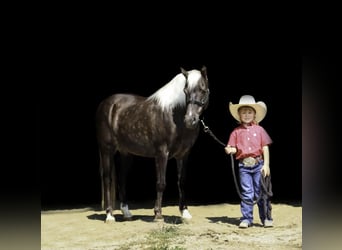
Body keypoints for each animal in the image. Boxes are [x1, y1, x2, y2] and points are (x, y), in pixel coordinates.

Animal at [95, 65, 210, 222]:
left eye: (203, 90)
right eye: (185, 91)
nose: (190, 120)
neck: (173, 114)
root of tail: (107, 104)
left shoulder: (184, 155)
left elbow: (182, 182)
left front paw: (185, 212)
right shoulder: (162, 153)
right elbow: (161, 183)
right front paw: (158, 214)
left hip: (126, 154)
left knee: (122, 179)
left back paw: (127, 213)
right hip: (107, 150)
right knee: (107, 179)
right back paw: (109, 215)